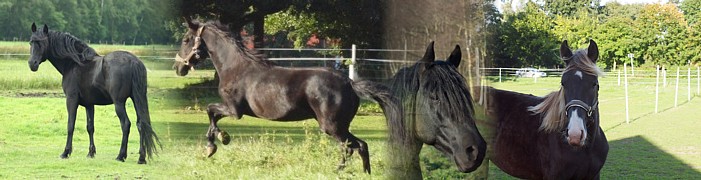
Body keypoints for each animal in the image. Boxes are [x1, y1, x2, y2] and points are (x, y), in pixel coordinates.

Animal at [27, 23, 160, 164]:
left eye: (41, 43)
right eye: (31, 42)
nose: (32, 64)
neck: (74, 63)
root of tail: (133, 61)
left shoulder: (71, 100)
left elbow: (70, 125)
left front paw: (66, 152)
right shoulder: (89, 104)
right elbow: (90, 127)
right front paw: (91, 153)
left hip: (119, 103)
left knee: (126, 124)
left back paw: (121, 156)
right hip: (137, 99)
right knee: (141, 124)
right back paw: (141, 158)